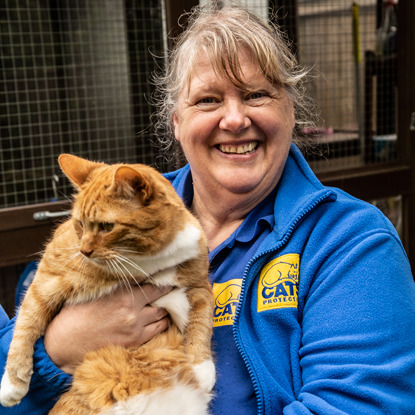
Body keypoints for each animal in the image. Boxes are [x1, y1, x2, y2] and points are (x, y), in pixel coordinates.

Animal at [0, 154, 214, 414]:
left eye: (107, 227)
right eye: (80, 223)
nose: (84, 251)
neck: (143, 262)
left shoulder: (199, 284)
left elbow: (201, 321)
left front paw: (202, 369)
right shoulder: (47, 279)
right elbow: (25, 326)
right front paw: (12, 384)